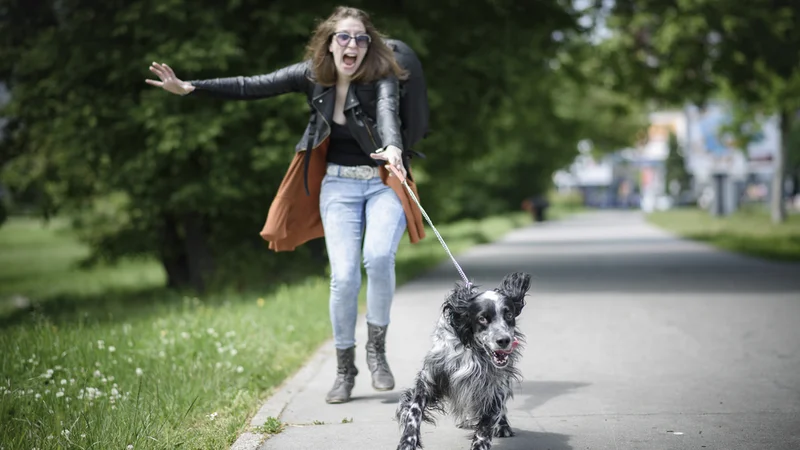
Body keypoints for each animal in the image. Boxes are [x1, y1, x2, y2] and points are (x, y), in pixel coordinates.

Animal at [396, 270, 532, 450]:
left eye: (509, 315)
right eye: (482, 318)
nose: (504, 340)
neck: (472, 349)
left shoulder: (492, 386)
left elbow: (486, 424)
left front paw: (482, 441)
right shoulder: (429, 378)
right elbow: (413, 412)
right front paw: (408, 441)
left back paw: (502, 426)